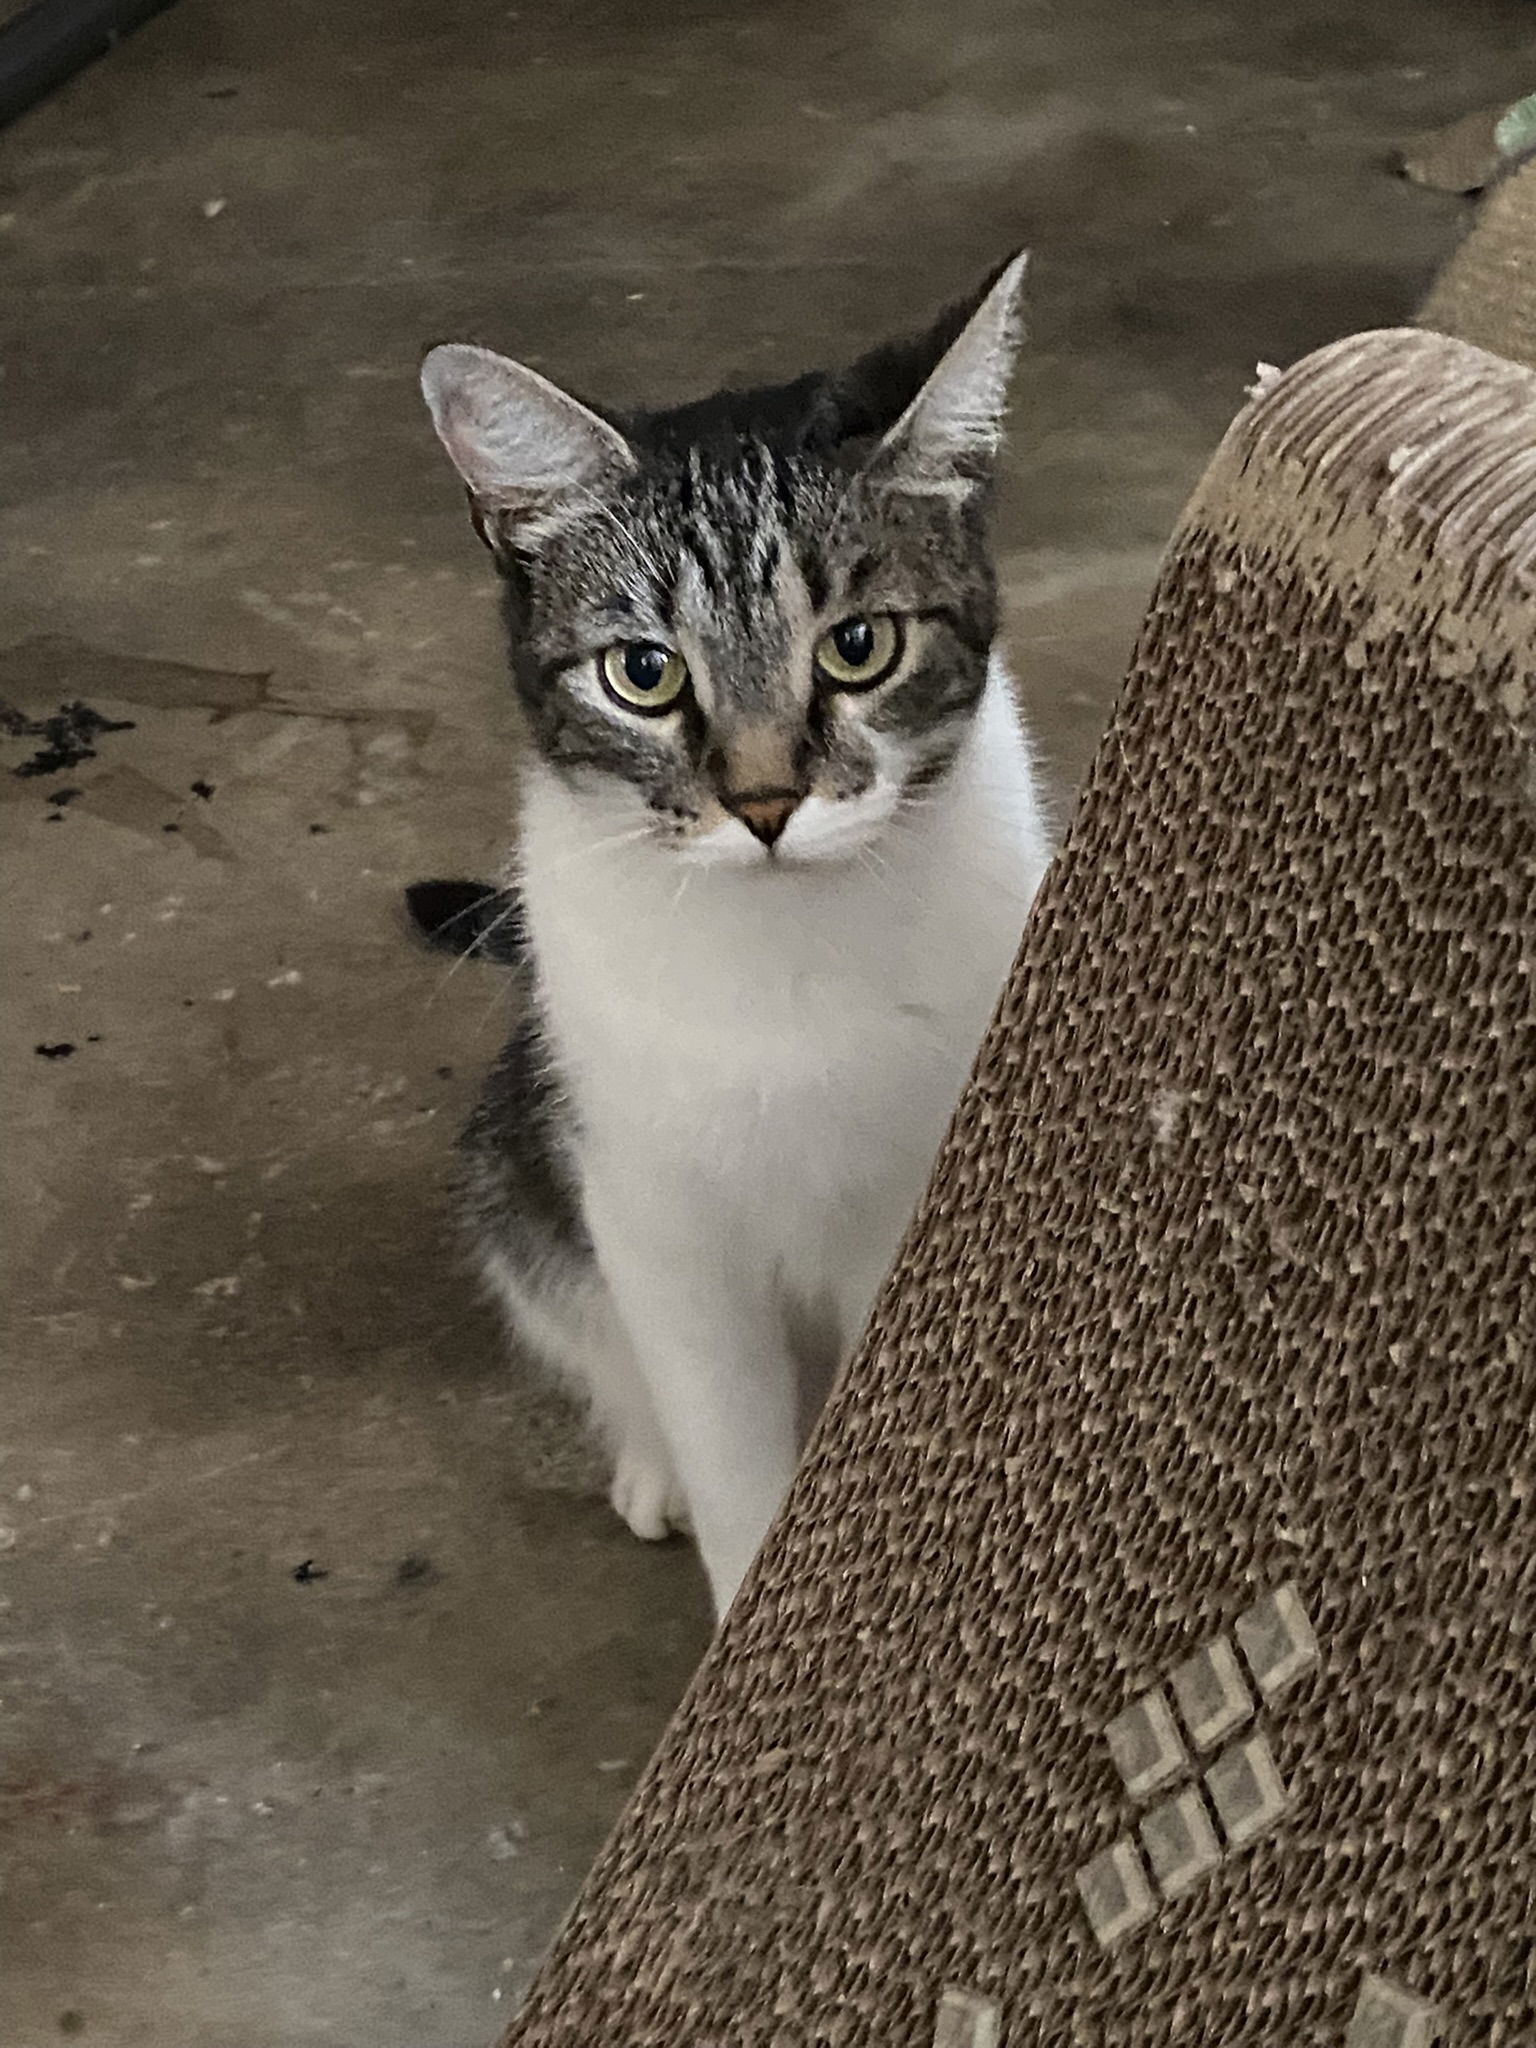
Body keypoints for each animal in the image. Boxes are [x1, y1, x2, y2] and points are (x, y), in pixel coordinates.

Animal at [415, 251, 1056, 1613]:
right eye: (643, 672)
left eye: (858, 646)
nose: (764, 803)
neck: (785, 952)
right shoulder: (651, 1206)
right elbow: (722, 1435)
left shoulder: (917, 1202)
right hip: (520, 1167)